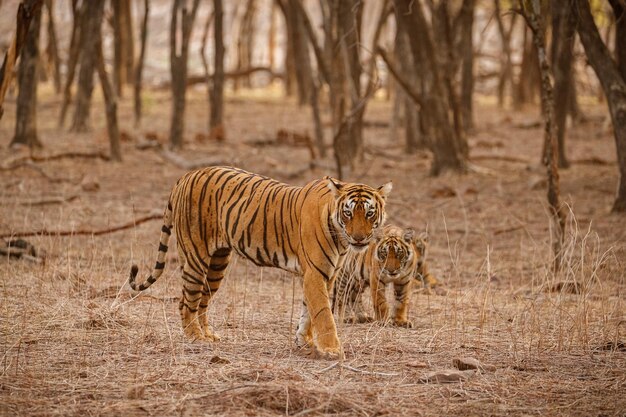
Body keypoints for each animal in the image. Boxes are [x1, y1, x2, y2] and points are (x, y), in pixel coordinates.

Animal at [128, 166, 390, 358]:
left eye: (369, 213)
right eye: (348, 213)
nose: (359, 238)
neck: (339, 235)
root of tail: (186, 175)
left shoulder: (325, 274)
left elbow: (308, 311)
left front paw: (303, 342)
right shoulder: (316, 273)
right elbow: (324, 313)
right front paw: (332, 349)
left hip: (217, 264)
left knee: (202, 301)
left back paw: (209, 335)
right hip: (195, 257)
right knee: (186, 301)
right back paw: (195, 336)